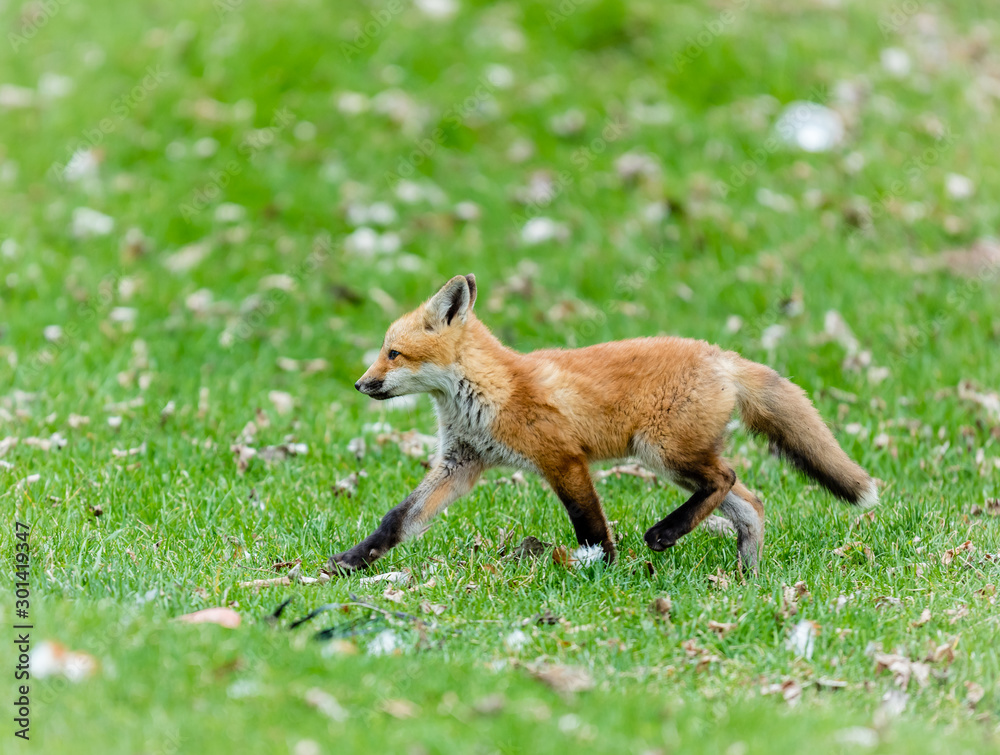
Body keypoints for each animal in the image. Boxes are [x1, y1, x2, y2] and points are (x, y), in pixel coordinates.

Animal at [328, 274, 878, 576]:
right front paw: (352, 561)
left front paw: (603, 569)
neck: (486, 392)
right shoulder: (460, 463)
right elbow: (398, 519)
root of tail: (720, 355)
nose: (360, 384)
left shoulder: (562, 458)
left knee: (726, 479)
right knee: (751, 502)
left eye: (393, 353)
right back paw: (747, 574)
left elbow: (589, 523)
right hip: (674, 459)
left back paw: (665, 534)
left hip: (662, 452)